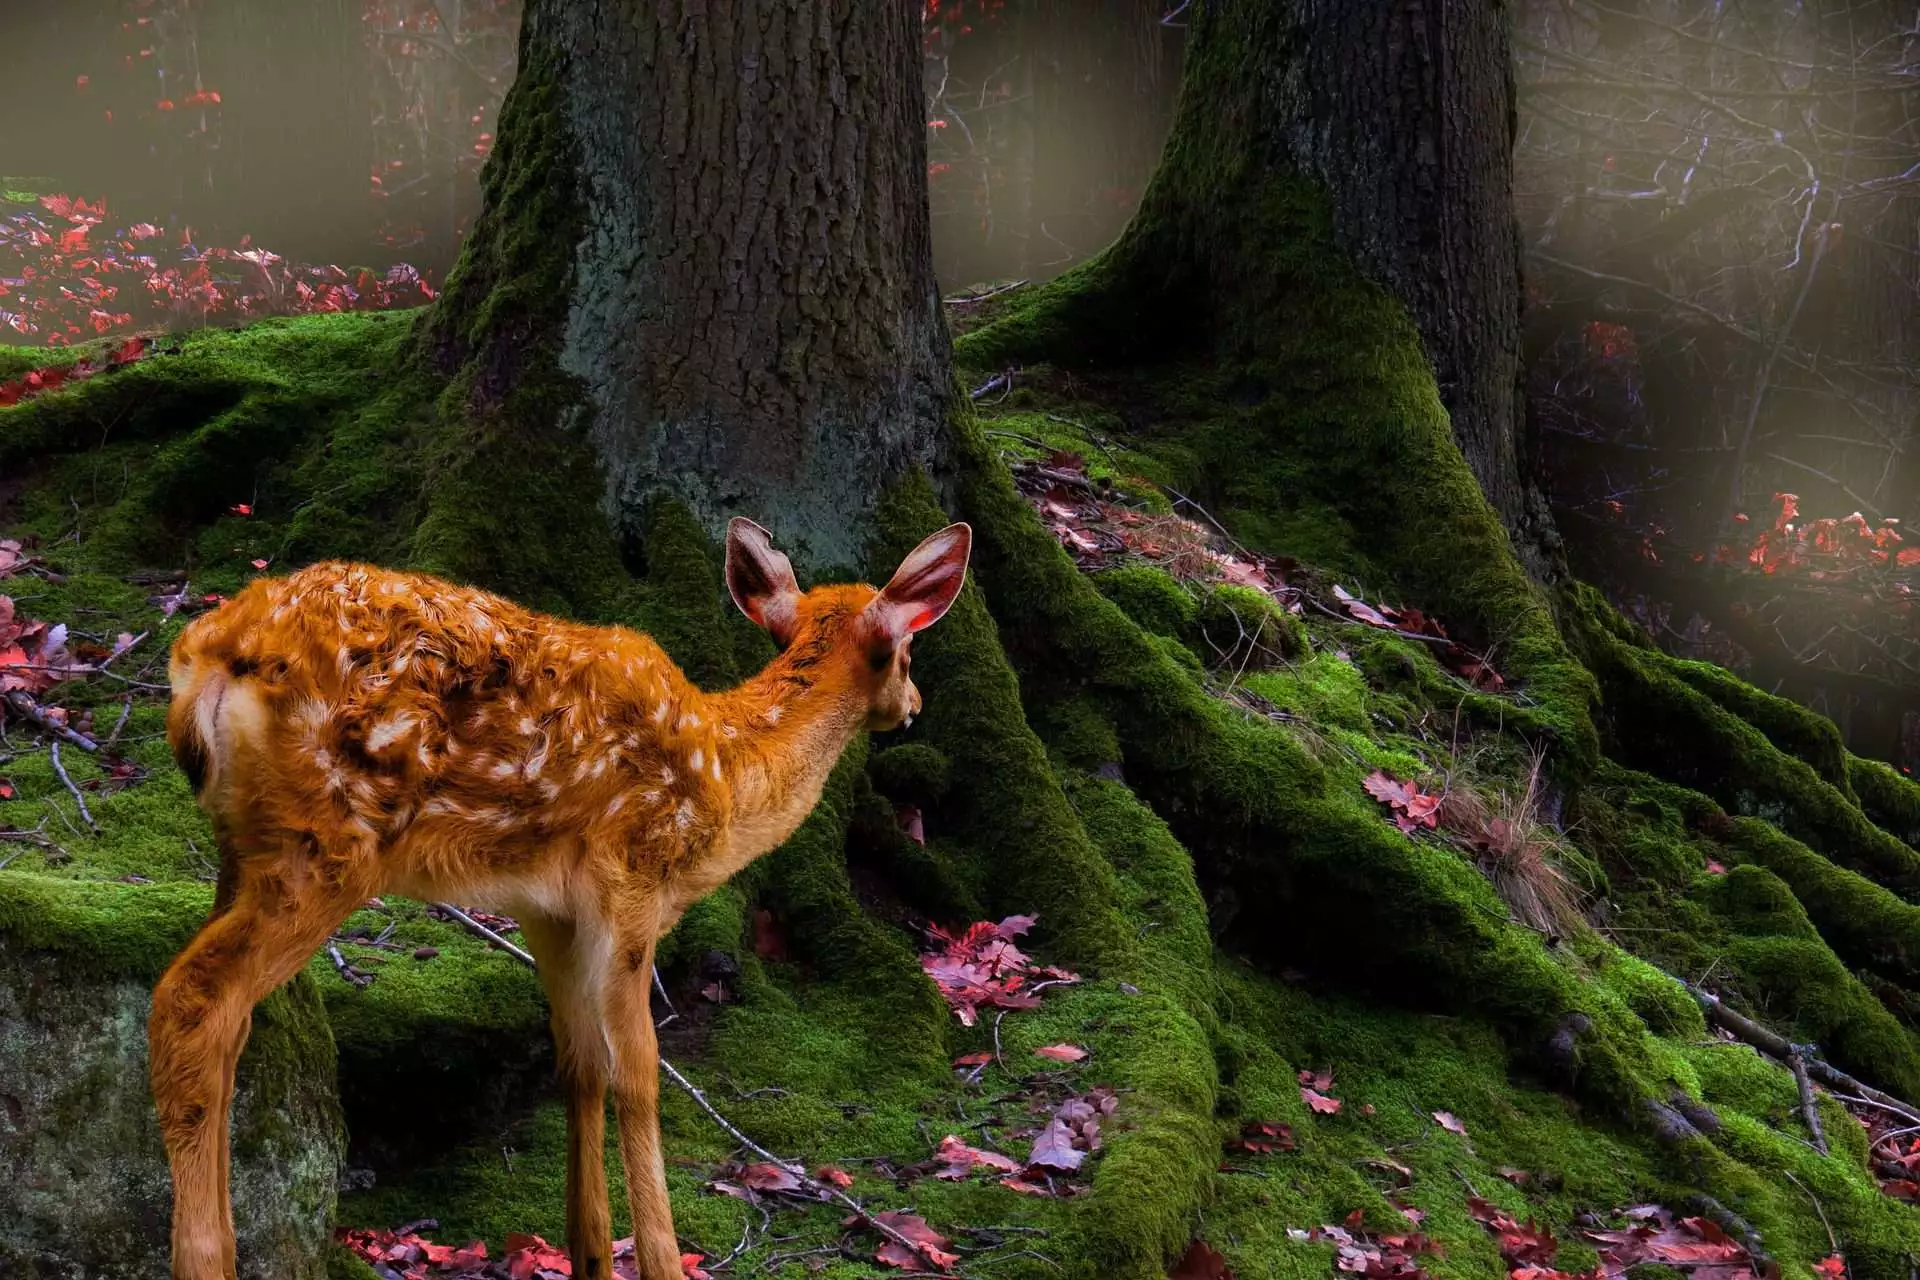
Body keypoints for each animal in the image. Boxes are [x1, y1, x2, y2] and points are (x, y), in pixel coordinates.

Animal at [150, 516, 973, 1280]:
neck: (726, 776)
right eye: (907, 649)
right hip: (327, 843)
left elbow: (579, 1064)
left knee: (227, 1023)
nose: (915, 702)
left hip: (245, 848)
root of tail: (209, 653)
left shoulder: (547, 909)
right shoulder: (635, 879)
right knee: (192, 1002)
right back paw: (204, 1255)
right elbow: (638, 1073)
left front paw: (590, 1254)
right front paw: (662, 1261)